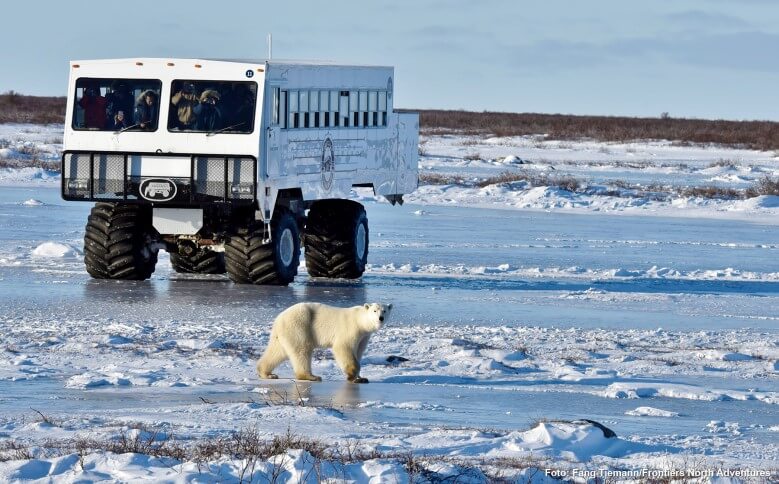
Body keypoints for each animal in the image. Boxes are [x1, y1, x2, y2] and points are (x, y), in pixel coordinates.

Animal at [258, 300, 394, 384]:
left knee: (277, 351)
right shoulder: (350, 329)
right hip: (300, 325)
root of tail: (278, 318)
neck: (360, 321)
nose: (380, 318)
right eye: (375, 311)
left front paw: (362, 378)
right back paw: (311, 376)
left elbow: (358, 352)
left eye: (384, 310)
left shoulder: (364, 336)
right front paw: (352, 376)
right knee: (302, 350)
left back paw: (267, 373)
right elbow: (343, 348)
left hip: (284, 333)